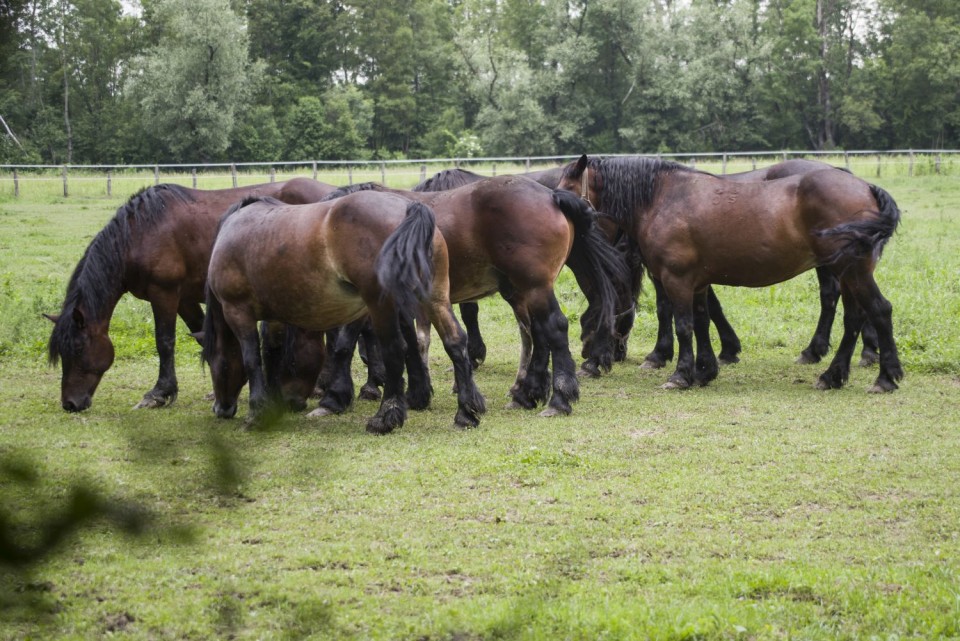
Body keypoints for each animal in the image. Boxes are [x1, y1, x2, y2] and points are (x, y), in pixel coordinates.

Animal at [46, 178, 338, 412]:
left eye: (78, 349)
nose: (70, 403)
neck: (140, 233)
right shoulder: (185, 300)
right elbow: (204, 337)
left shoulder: (164, 294)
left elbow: (164, 342)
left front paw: (158, 394)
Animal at [204, 190, 488, 430]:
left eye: (212, 361)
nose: (221, 408)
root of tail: (408, 208)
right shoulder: (274, 317)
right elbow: (271, 354)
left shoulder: (237, 311)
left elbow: (252, 359)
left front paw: (257, 413)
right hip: (434, 298)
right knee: (454, 341)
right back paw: (465, 413)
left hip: (382, 304)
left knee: (395, 349)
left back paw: (384, 418)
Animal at [560, 155, 904, 392]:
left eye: (567, 189)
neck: (663, 198)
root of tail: (864, 186)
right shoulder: (697, 282)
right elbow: (701, 323)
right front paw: (705, 370)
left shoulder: (676, 279)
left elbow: (683, 325)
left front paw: (680, 374)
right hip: (846, 273)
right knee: (854, 318)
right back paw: (833, 374)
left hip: (851, 271)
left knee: (878, 310)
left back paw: (884, 377)